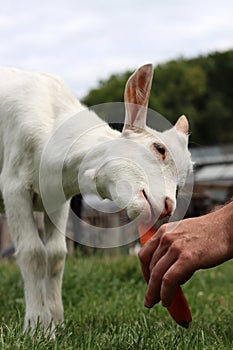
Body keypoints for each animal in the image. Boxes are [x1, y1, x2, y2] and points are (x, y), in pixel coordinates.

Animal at [0, 64, 193, 334]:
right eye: (159, 148)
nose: (167, 206)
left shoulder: (57, 199)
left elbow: (56, 255)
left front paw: (57, 324)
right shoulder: (14, 187)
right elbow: (33, 253)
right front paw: (37, 328)